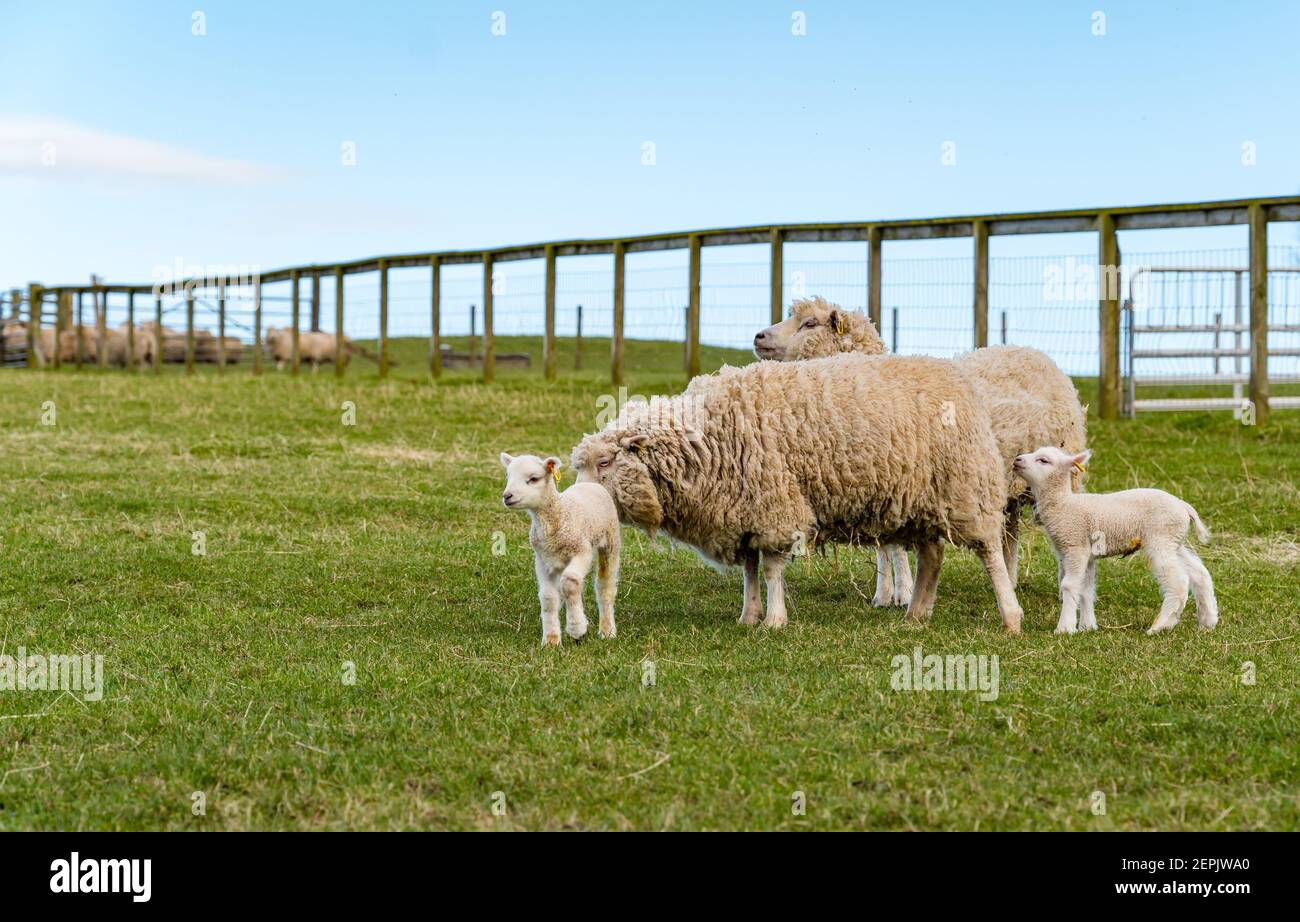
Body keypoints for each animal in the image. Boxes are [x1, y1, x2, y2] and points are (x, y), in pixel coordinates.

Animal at [496, 452, 618, 639]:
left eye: (533, 479)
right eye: (508, 477)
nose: (507, 496)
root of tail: (589, 483)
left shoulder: (582, 550)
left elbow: (570, 583)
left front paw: (576, 627)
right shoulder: (543, 560)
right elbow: (548, 598)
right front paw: (551, 639)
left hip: (610, 539)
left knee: (605, 585)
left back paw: (607, 630)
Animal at [569, 353, 1024, 632]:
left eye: (605, 463)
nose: (580, 506)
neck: (706, 439)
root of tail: (953, 375)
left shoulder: (774, 506)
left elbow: (770, 570)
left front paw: (774, 620)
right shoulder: (745, 513)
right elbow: (750, 570)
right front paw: (748, 615)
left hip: (966, 486)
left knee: (989, 551)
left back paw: (1010, 615)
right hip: (923, 500)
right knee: (932, 555)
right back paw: (916, 613)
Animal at [754, 299, 1086, 603]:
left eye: (809, 323)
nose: (759, 336)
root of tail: (1029, 350)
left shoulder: (901, 479)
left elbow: (895, 546)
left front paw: (902, 592)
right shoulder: (874, 479)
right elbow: (883, 545)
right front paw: (883, 593)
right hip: (1009, 481)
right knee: (1011, 533)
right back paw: (1011, 579)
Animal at [1013, 449, 1216, 637]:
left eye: (1043, 460)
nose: (1017, 460)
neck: (1063, 505)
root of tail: (1184, 506)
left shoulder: (1075, 546)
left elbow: (1069, 585)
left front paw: (1065, 628)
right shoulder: (1088, 554)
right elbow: (1087, 589)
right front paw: (1087, 627)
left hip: (1160, 538)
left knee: (1179, 581)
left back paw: (1161, 626)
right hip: (1174, 541)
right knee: (1200, 573)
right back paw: (1208, 621)